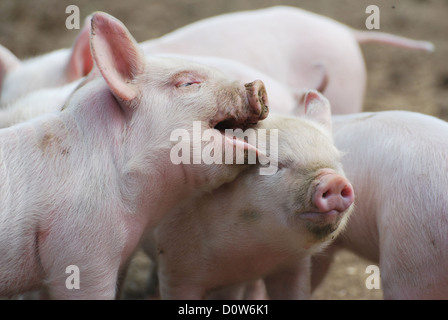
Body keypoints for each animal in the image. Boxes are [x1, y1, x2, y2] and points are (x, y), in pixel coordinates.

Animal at [147, 92, 354, 300]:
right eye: (273, 164)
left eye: (337, 161)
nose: (334, 180)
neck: (249, 258)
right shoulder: (176, 269)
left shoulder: (295, 266)